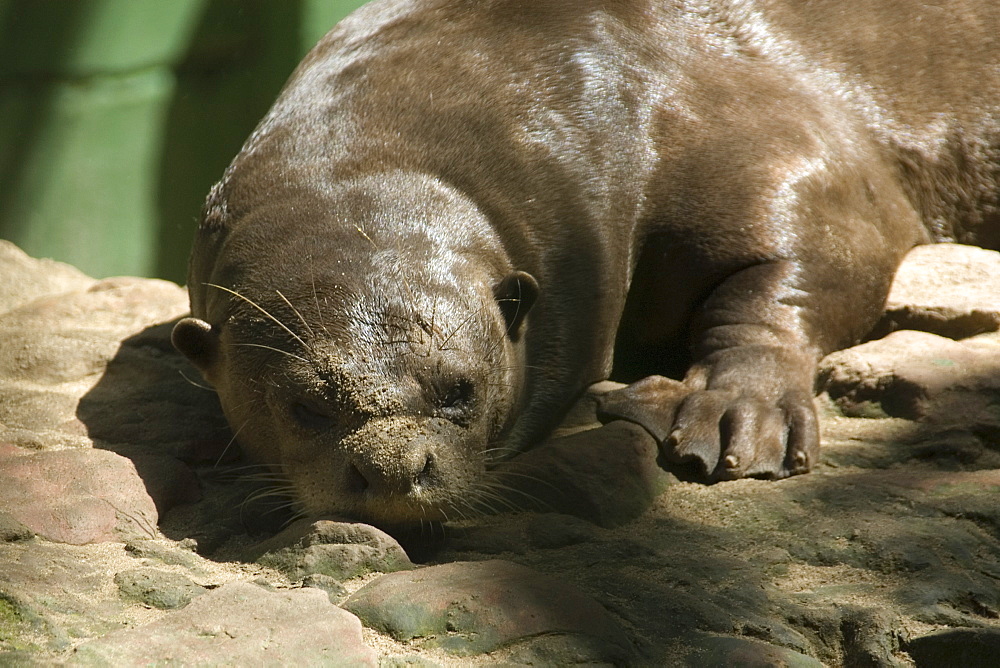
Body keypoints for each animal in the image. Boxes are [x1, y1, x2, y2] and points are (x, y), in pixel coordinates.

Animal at [168, 0, 996, 524]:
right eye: (305, 405)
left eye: (460, 389)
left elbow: (822, 249)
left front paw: (736, 407)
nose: (394, 467)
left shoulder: (769, 138)